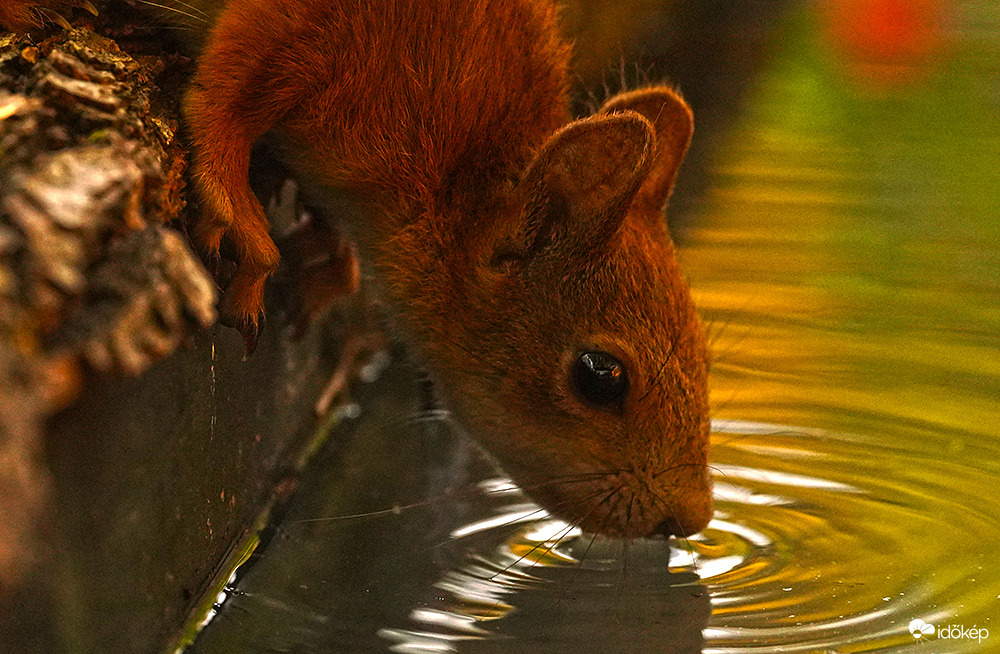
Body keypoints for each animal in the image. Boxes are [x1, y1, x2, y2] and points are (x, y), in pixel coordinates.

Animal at [3, 0, 716, 540]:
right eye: (600, 375)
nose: (689, 520)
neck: (452, 168)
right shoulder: (313, 27)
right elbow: (228, 92)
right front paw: (239, 211)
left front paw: (331, 257)